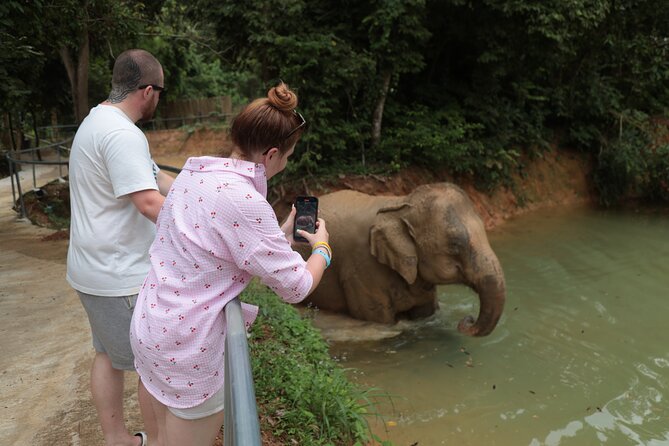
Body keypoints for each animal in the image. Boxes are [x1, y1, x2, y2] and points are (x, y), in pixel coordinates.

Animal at [297, 183, 506, 337]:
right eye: (455, 245)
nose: (467, 320)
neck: (402, 205)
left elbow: (425, 311)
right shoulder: (360, 269)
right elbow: (380, 320)